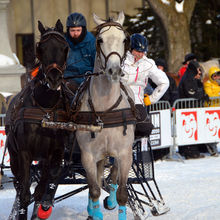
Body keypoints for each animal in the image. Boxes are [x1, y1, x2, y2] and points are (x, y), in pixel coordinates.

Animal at [6, 19, 69, 219]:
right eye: (41, 47)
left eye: (64, 47)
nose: (54, 78)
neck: (45, 108)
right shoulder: (25, 152)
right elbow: (25, 194)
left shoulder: (53, 153)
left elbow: (43, 188)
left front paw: (43, 207)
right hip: (14, 156)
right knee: (19, 187)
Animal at [76, 12, 136, 220]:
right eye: (100, 40)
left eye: (124, 39)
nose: (114, 70)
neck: (106, 109)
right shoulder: (87, 155)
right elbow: (94, 189)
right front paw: (94, 213)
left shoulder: (125, 153)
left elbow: (123, 193)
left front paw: (114, 201)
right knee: (98, 178)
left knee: (113, 177)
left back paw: (110, 199)